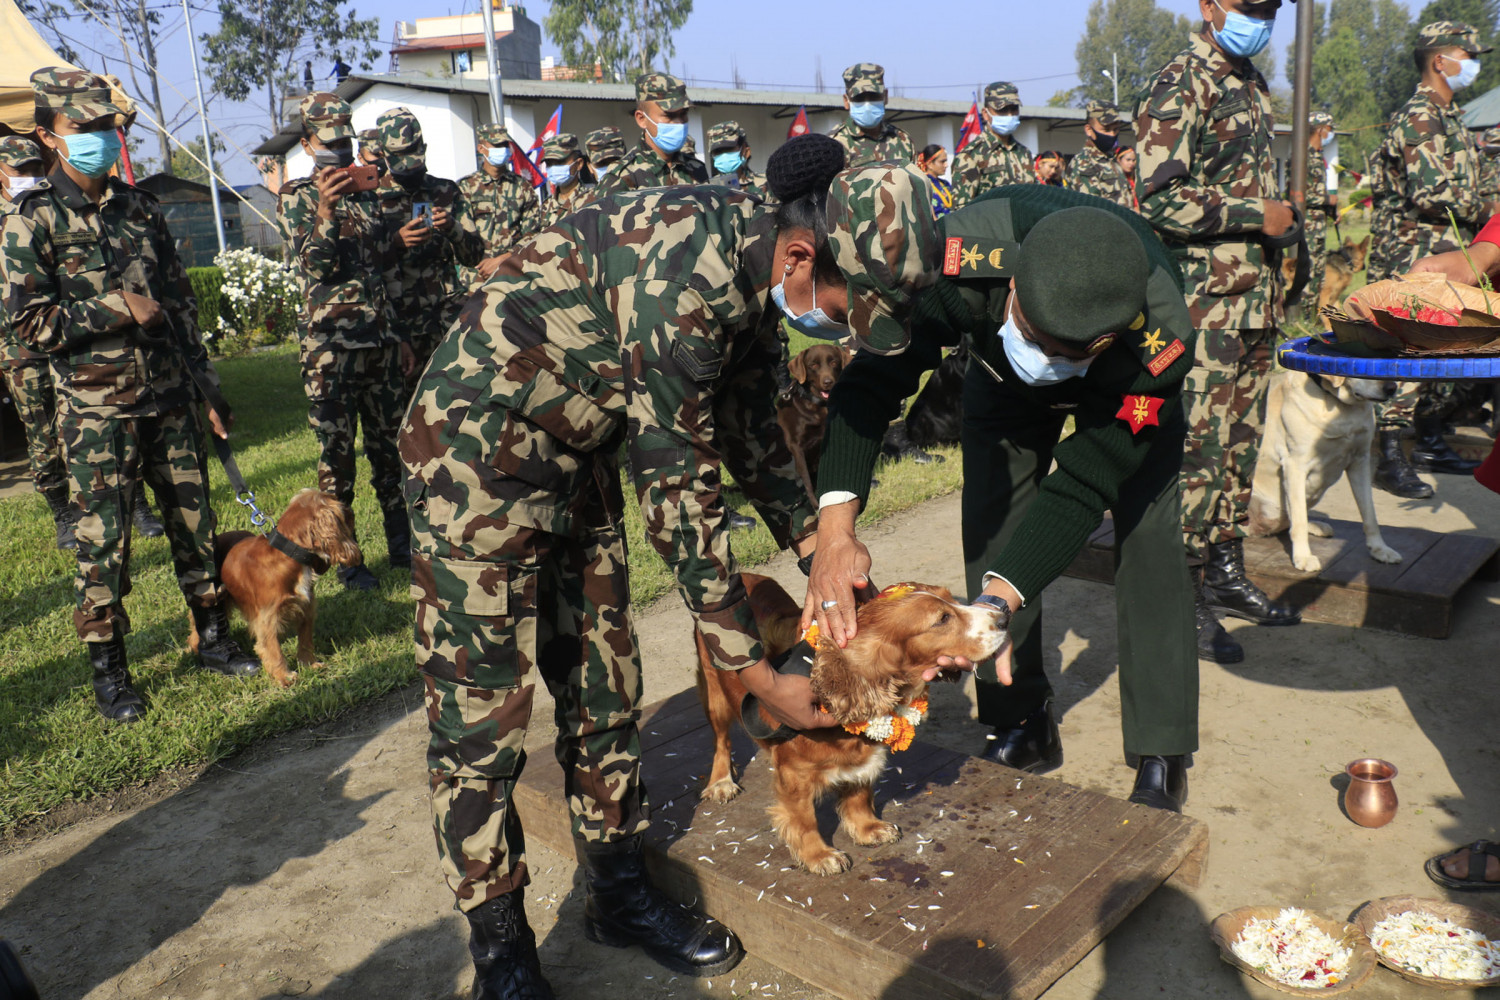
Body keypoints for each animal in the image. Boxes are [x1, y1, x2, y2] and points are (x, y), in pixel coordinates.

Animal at [190, 488, 363, 683]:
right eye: (340, 506)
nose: (350, 509)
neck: (289, 554)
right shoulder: (267, 618)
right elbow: (273, 649)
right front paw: (284, 677)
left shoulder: (306, 607)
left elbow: (306, 641)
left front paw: (309, 664)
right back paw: (196, 647)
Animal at [693, 575, 1008, 869]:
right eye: (942, 619)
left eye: (951, 599)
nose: (1004, 617)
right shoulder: (794, 774)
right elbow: (803, 818)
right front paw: (819, 856)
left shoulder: (863, 756)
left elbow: (859, 792)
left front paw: (867, 828)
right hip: (714, 692)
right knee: (721, 740)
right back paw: (721, 781)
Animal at [780, 344, 852, 503]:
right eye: (813, 365)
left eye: (834, 362)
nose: (828, 382)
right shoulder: (796, 447)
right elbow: (806, 481)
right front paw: (815, 504)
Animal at [1242, 371, 1404, 575]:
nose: (1392, 387)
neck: (1340, 407)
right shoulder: (1295, 465)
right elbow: (1299, 521)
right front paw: (1303, 557)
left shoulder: (1360, 461)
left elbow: (1370, 514)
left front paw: (1379, 549)